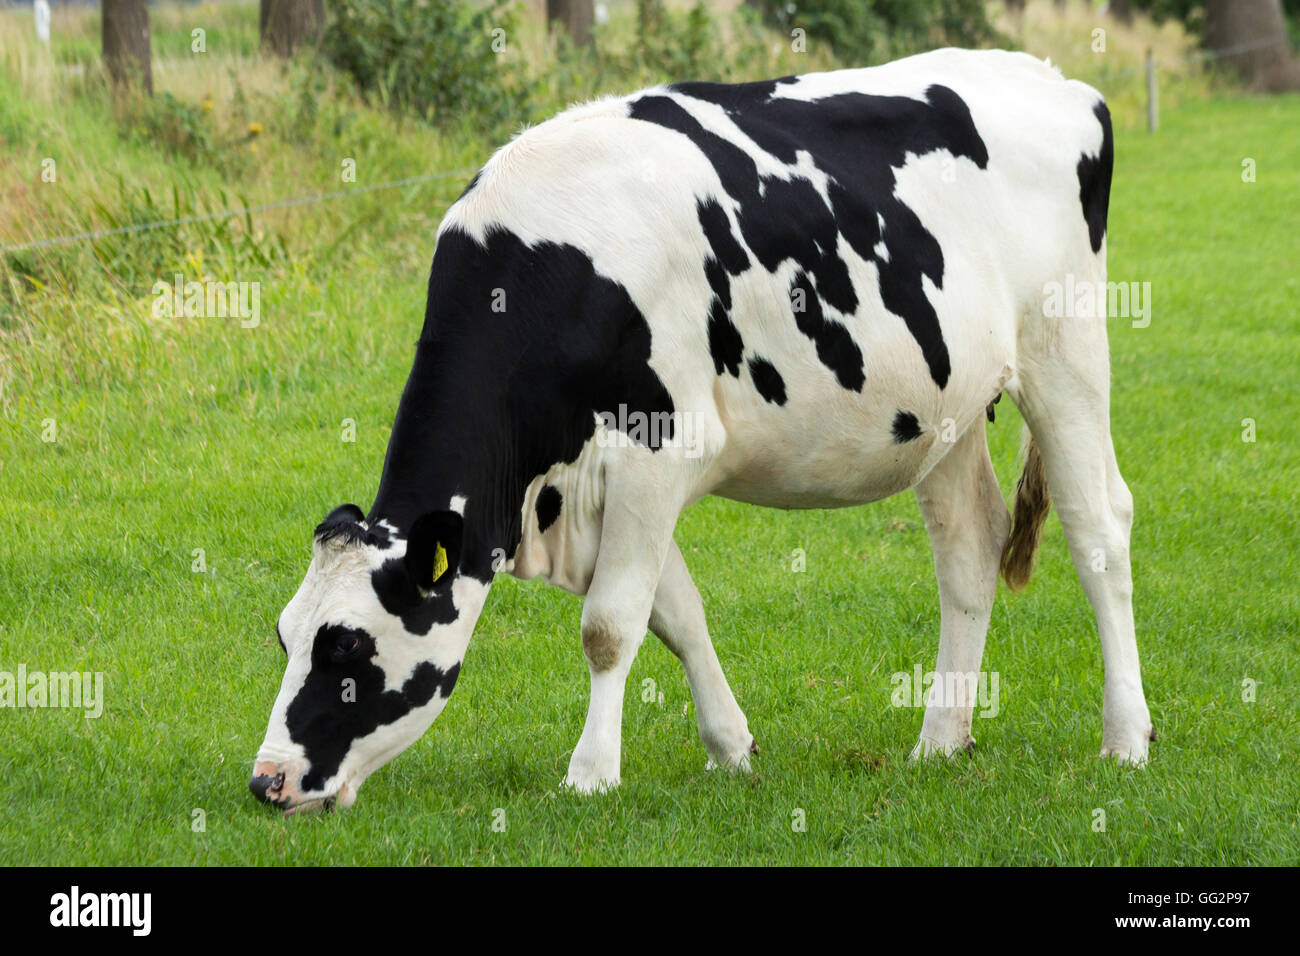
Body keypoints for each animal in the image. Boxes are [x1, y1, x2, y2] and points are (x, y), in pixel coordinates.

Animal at [250, 48, 1154, 813]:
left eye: (346, 650)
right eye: (285, 636)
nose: (267, 782)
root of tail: (1055, 79)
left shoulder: (660, 446)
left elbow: (610, 625)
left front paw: (590, 774)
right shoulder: (610, 483)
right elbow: (675, 613)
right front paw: (730, 748)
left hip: (1065, 349)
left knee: (1099, 529)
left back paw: (1126, 739)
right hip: (946, 406)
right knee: (969, 546)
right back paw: (940, 739)